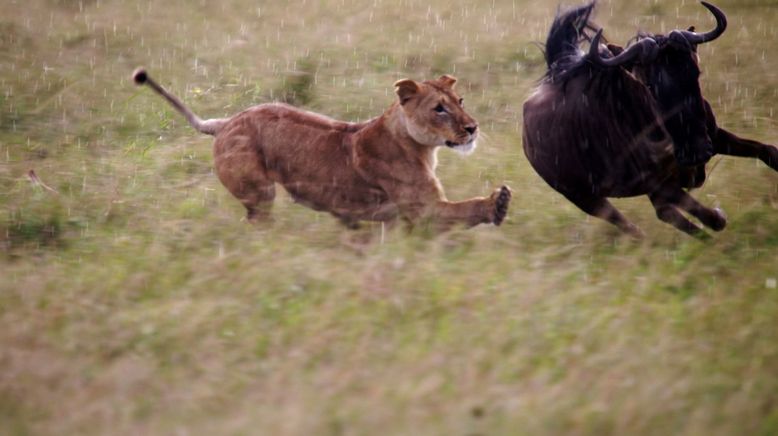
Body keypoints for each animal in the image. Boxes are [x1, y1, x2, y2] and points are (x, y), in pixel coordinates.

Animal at [131, 67, 512, 228]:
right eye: (439, 109)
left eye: (460, 101)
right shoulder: (423, 211)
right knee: (256, 222)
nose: (473, 128)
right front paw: (497, 204)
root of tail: (225, 122)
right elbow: (465, 209)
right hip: (259, 194)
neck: (420, 147)